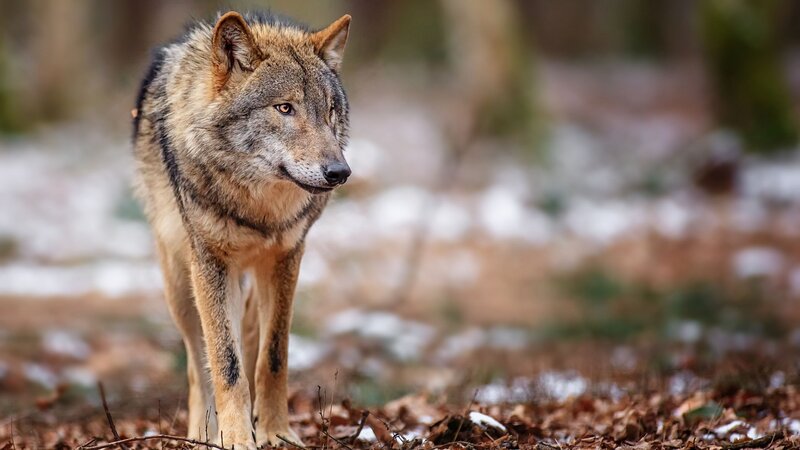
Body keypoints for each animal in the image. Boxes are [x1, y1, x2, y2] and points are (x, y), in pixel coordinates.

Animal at [132, 11, 352, 448]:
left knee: (250, 333)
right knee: (197, 362)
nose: (339, 172)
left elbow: (273, 356)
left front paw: (276, 432)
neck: (259, 208)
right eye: (285, 108)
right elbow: (224, 362)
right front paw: (233, 437)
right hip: (180, 284)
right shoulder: (211, 263)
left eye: (330, 110)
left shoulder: (286, 257)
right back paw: (203, 431)